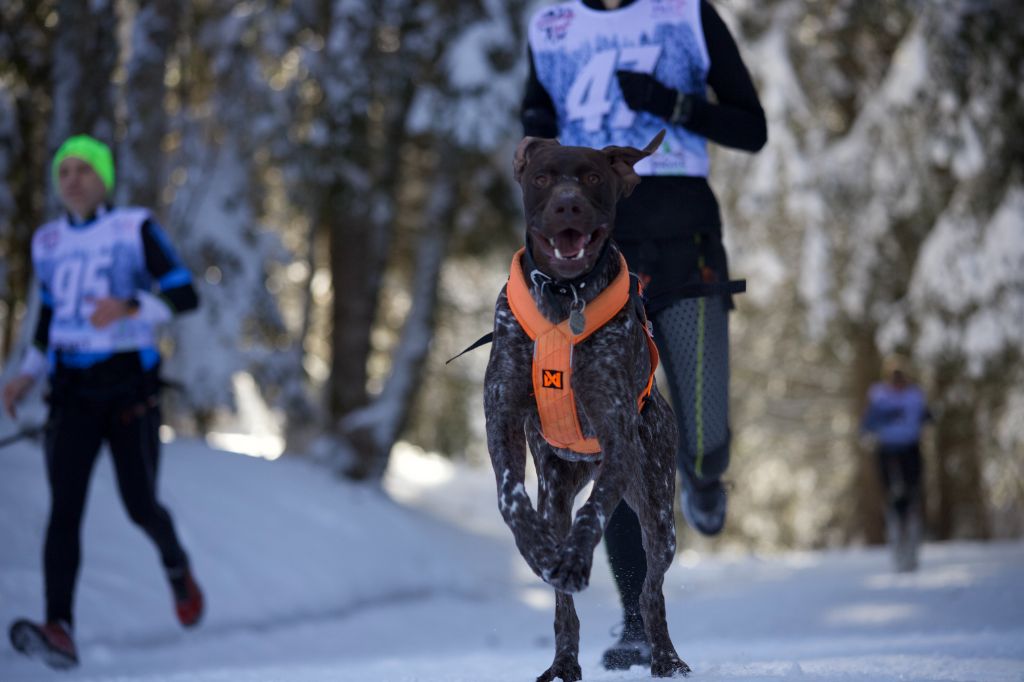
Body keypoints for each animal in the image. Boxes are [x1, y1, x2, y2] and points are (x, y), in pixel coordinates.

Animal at [481, 130, 688, 675]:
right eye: (542, 177)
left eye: (594, 176)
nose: (568, 204)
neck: (563, 294)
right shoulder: (502, 416)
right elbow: (511, 499)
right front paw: (541, 553)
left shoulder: (617, 434)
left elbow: (593, 516)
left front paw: (575, 559)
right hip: (556, 485)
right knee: (564, 608)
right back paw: (562, 664)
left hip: (657, 507)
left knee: (651, 590)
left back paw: (665, 657)